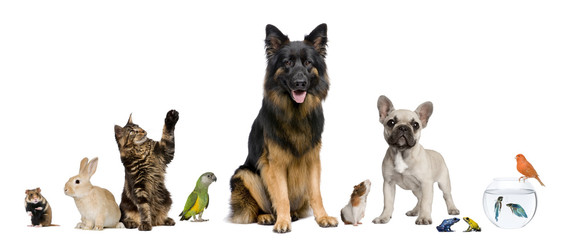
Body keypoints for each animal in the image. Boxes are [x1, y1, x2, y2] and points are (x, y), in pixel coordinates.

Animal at [229, 23, 340, 232]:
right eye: (287, 63)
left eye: (308, 63)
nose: (300, 83)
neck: (296, 114)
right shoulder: (275, 164)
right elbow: (281, 196)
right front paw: (282, 221)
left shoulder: (313, 160)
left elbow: (316, 193)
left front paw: (322, 217)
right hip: (245, 173)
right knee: (259, 207)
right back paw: (267, 216)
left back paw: (293, 214)